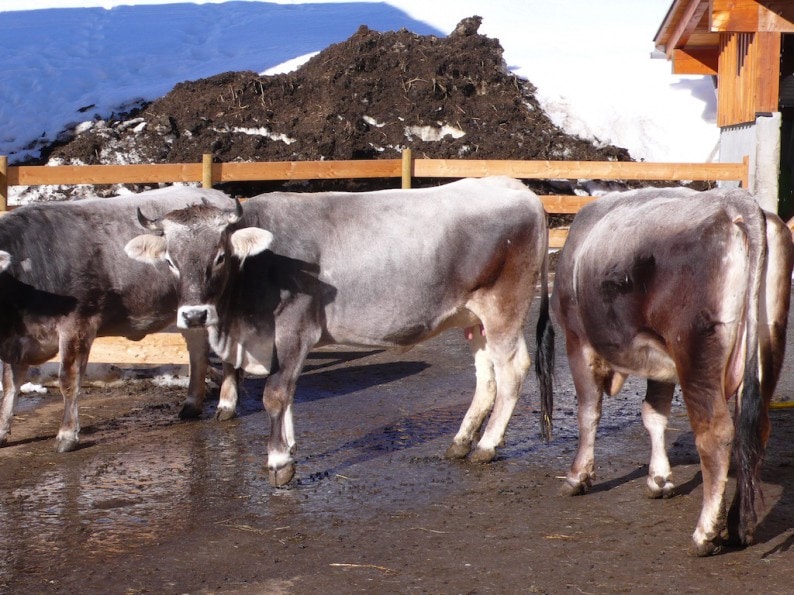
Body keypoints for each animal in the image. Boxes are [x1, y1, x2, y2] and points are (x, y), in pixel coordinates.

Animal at [0, 189, 237, 454]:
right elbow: (10, 384)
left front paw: (67, 434)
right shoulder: (16, 341)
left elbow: (68, 380)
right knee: (198, 352)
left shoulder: (78, 324)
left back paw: (227, 405)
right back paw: (191, 404)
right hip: (190, 309)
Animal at [127, 177, 552, 488]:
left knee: (512, 370)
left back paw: (486, 445)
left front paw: (278, 461)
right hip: (472, 318)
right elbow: (289, 393)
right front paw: (290, 448)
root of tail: (515, 187)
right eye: (170, 261)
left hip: (503, 309)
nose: (194, 314)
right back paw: (461, 442)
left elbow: (275, 394)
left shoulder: (294, 329)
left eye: (218, 256)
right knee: (486, 377)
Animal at [552, 189, 792, 556]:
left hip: (695, 353)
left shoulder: (578, 341)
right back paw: (740, 526)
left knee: (716, 434)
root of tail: (735, 202)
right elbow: (654, 414)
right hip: (768, 343)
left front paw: (577, 476)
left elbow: (589, 412)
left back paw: (706, 533)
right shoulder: (658, 358)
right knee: (755, 430)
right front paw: (659, 479)